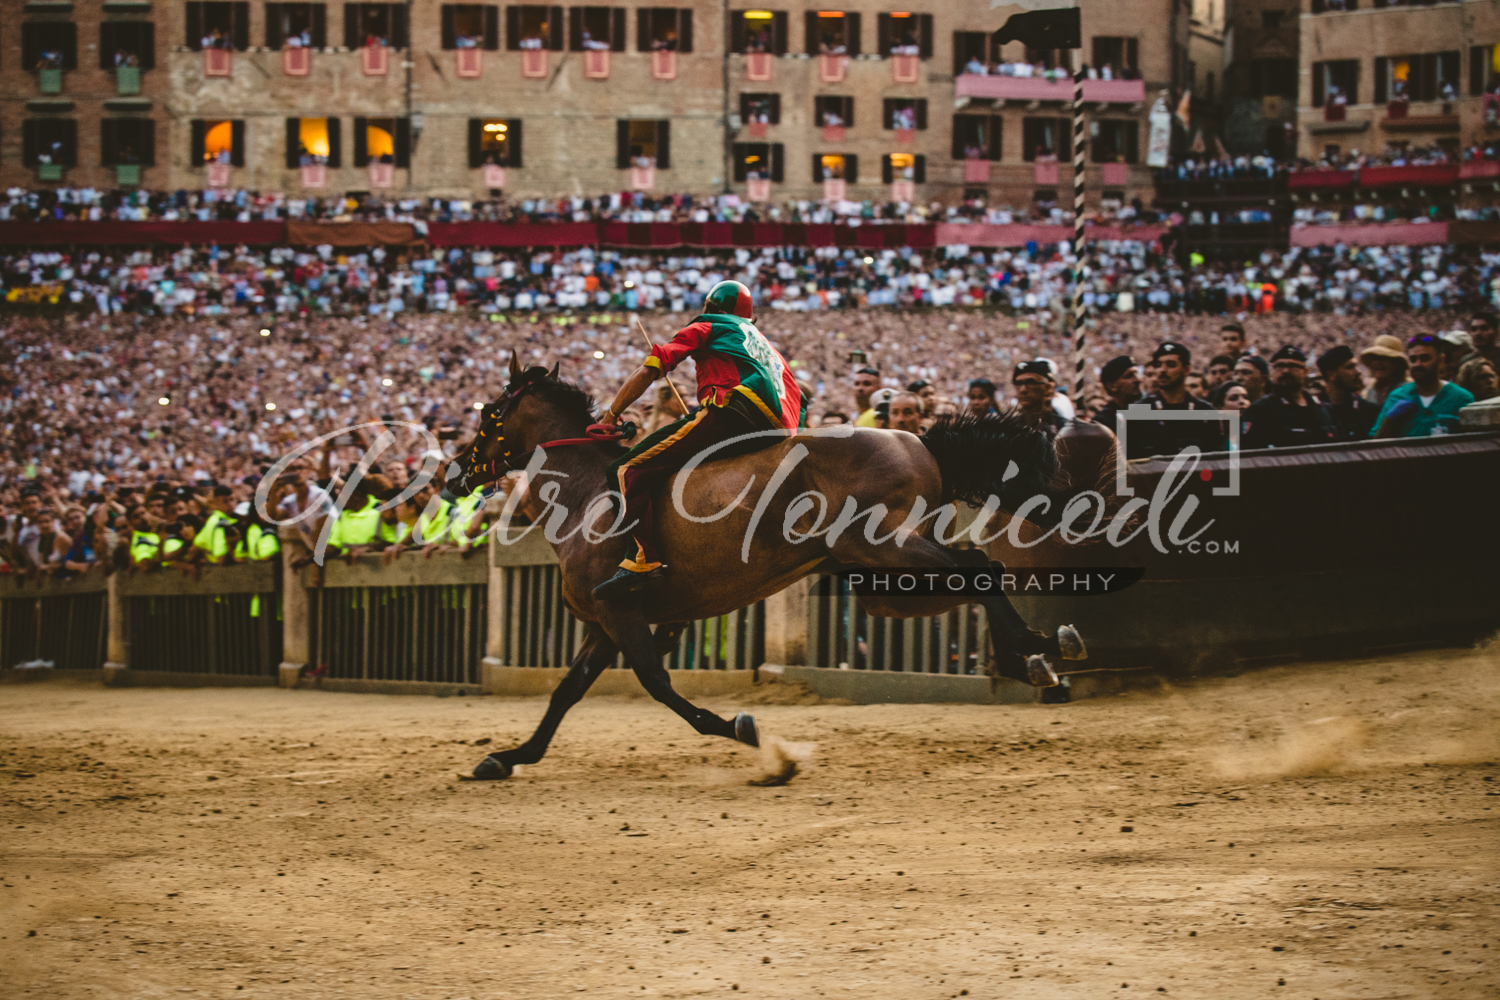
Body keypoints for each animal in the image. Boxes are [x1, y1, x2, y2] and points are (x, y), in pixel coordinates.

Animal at [444, 359, 1092, 779]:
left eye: (490, 411)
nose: (454, 474)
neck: (586, 497)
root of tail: (919, 440)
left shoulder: (621, 612)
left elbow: (657, 684)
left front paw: (746, 732)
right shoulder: (607, 624)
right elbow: (565, 693)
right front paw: (508, 757)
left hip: (883, 546)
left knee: (979, 568)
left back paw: (1038, 651)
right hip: (879, 575)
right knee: (975, 572)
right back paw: (1040, 648)